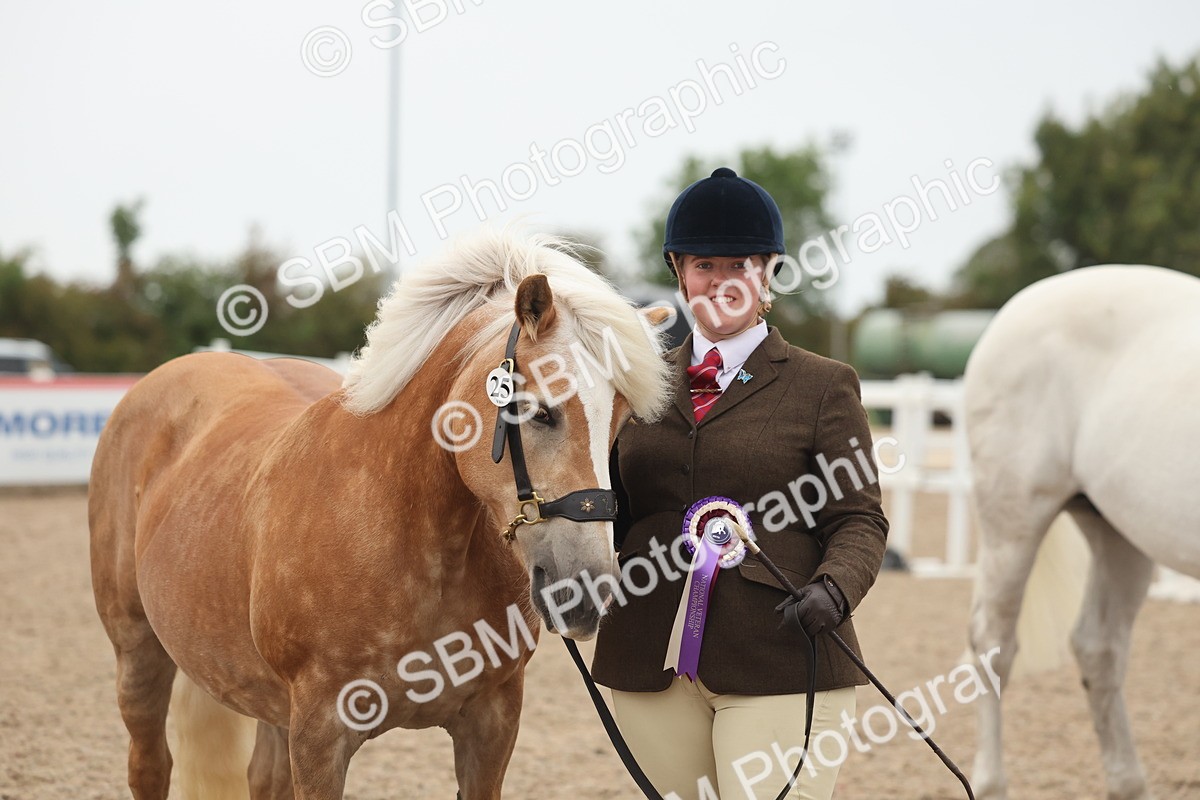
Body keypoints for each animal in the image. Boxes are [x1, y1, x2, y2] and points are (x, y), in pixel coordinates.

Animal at [88, 230, 673, 799]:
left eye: (621, 421)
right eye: (539, 410)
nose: (587, 589)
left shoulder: (492, 724)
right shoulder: (319, 736)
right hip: (137, 654)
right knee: (150, 766)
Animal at [964, 264, 1200, 800]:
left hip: (1116, 533)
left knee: (1099, 648)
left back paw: (1127, 783)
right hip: (1014, 521)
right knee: (994, 644)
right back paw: (990, 783)